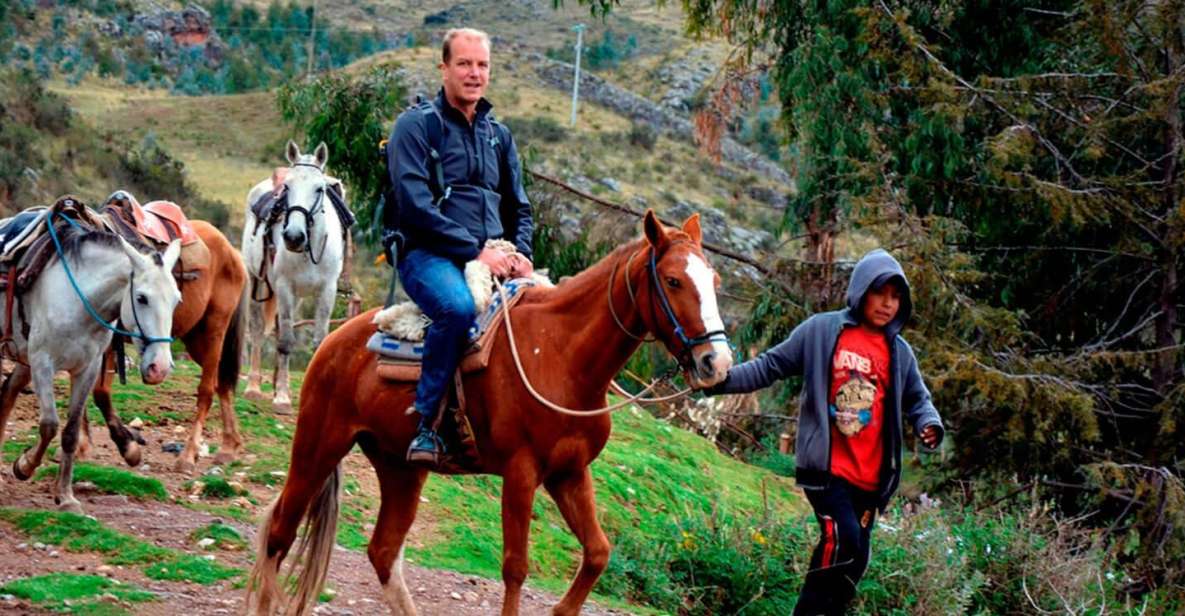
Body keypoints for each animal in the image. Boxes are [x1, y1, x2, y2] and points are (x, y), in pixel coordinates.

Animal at [0, 212, 180, 509]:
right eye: (141, 298)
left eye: (177, 300)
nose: (160, 368)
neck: (79, 298)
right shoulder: (43, 363)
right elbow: (49, 425)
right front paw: (24, 466)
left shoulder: (88, 368)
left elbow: (71, 431)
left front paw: (65, 496)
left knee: (8, 391)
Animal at [82, 195, 253, 473]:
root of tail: (233, 252)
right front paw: (80, 446)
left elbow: (99, 392)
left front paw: (127, 448)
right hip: (195, 339)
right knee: (222, 383)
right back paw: (229, 446)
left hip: (214, 331)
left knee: (207, 390)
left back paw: (188, 455)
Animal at [240, 140, 346, 414]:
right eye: (287, 187)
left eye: (319, 189)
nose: (294, 237)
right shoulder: (284, 286)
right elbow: (286, 341)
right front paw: (282, 398)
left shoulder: (327, 291)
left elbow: (319, 342)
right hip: (258, 282)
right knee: (258, 331)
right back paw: (254, 387)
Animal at [246, 212, 734, 616]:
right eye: (673, 281)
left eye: (714, 280)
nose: (717, 363)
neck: (561, 354)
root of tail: (333, 341)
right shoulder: (521, 471)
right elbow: (515, 567)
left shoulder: (569, 472)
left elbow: (598, 553)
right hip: (318, 444)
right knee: (280, 533)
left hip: (400, 467)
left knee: (383, 551)